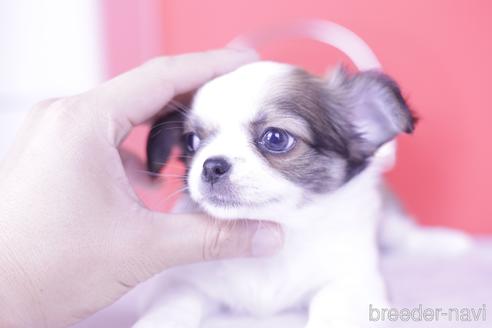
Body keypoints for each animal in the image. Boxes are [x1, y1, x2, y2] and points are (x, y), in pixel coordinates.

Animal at [133, 61, 460, 328]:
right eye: (191, 141)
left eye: (276, 138)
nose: (211, 166)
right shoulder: (186, 281)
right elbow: (171, 305)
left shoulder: (353, 280)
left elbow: (336, 311)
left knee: (403, 234)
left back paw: (445, 243)